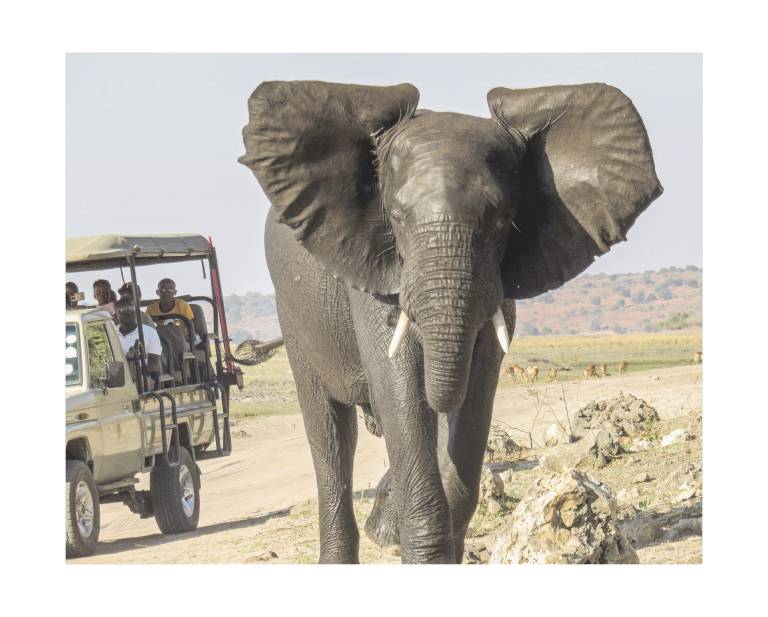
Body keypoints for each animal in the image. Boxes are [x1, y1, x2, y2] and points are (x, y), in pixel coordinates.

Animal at [239, 80, 661, 563]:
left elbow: (474, 390)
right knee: (330, 432)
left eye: (503, 218)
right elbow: (399, 385)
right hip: (292, 312)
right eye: (396, 218)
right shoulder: (374, 270)